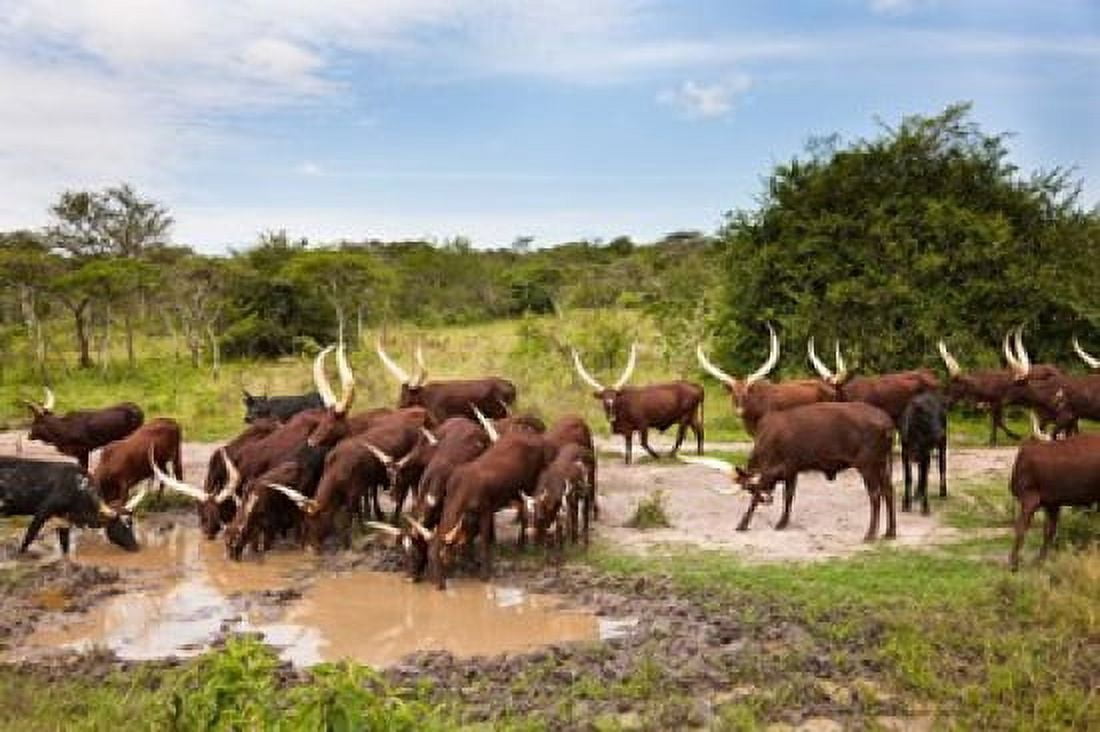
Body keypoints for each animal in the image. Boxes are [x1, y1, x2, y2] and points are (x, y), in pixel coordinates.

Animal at [1, 457, 146, 555]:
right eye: (119, 527)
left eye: (131, 524)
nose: (136, 547)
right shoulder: (42, 513)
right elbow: (28, 538)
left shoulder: (63, 521)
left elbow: (65, 548)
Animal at [572, 343, 704, 464]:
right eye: (604, 400)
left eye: (615, 398)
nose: (612, 416)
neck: (622, 406)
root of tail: (695, 386)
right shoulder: (627, 430)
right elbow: (628, 448)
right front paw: (628, 461)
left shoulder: (643, 424)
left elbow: (643, 443)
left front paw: (657, 456)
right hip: (692, 416)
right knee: (699, 430)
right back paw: (699, 453)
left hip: (684, 417)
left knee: (680, 436)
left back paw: (671, 455)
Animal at [729, 402, 896, 541]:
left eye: (748, 488)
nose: (767, 500)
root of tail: (886, 422)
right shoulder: (791, 471)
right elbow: (788, 497)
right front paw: (782, 522)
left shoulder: (774, 470)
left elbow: (756, 498)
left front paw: (742, 524)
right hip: (882, 464)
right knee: (888, 491)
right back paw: (890, 532)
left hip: (868, 466)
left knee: (875, 495)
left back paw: (870, 534)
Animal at [1007, 417, 1100, 570]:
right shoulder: (1052, 503)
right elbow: (1049, 532)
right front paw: (1040, 561)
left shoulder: (1030, 498)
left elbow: (1021, 529)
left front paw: (1014, 563)